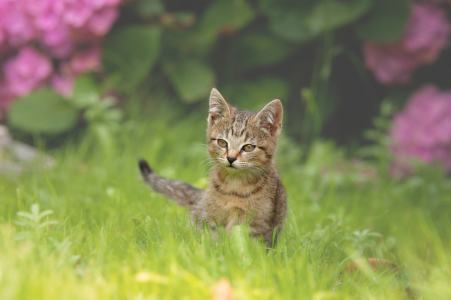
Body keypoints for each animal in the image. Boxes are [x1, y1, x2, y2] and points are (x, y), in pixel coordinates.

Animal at [138, 87, 288, 246]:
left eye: (248, 147)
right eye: (222, 142)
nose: (230, 158)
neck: (235, 186)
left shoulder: (258, 226)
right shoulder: (211, 221)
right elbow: (213, 244)